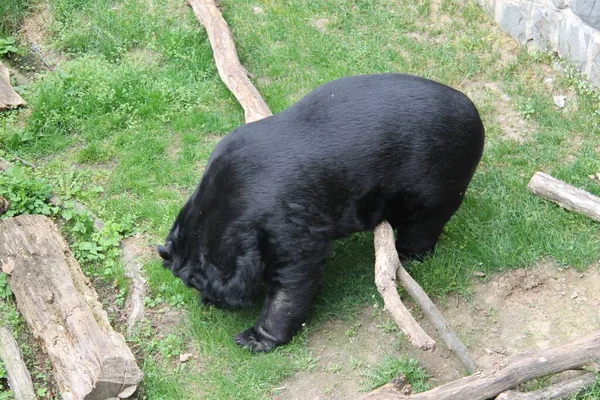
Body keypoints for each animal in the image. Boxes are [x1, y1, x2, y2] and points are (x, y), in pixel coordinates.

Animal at [157, 73, 486, 352]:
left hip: (440, 177)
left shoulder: (289, 225)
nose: (208, 302)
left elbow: (293, 280)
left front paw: (254, 338)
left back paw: (406, 255)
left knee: (424, 226)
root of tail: (475, 114)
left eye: (200, 284)